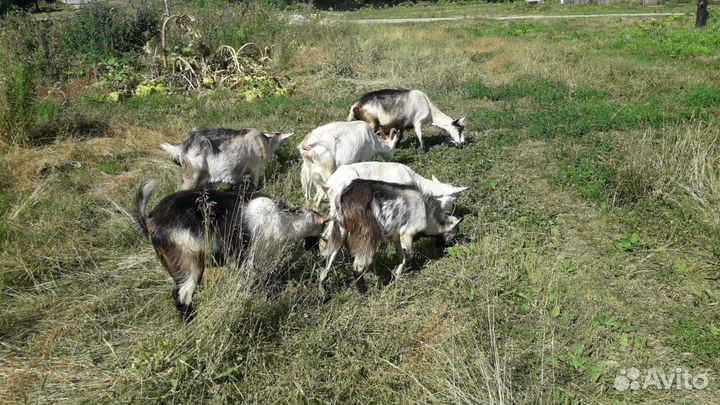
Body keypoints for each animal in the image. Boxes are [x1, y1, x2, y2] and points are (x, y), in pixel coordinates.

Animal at [135, 181, 328, 322]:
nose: (314, 251)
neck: (286, 220)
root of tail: (149, 220)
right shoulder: (253, 260)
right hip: (188, 262)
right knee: (182, 296)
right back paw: (191, 322)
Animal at [161, 127, 294, 190]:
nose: (278, 157)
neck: (266, 142)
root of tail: (180, 149)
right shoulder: (256, 165)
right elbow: (256, 181)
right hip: (192, 173)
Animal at [318, 179, 463, 294]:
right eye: (454, 233)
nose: (445, 247)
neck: (427, 214)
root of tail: (343, 197)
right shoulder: (407, 233)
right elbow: (409, 256)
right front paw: (394, 277)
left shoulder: (397, 237)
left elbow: (401, 255)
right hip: (367, 234)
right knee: (357, 266)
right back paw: (365, 293)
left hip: (340, 231)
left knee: (328, 262)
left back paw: (323, 294)